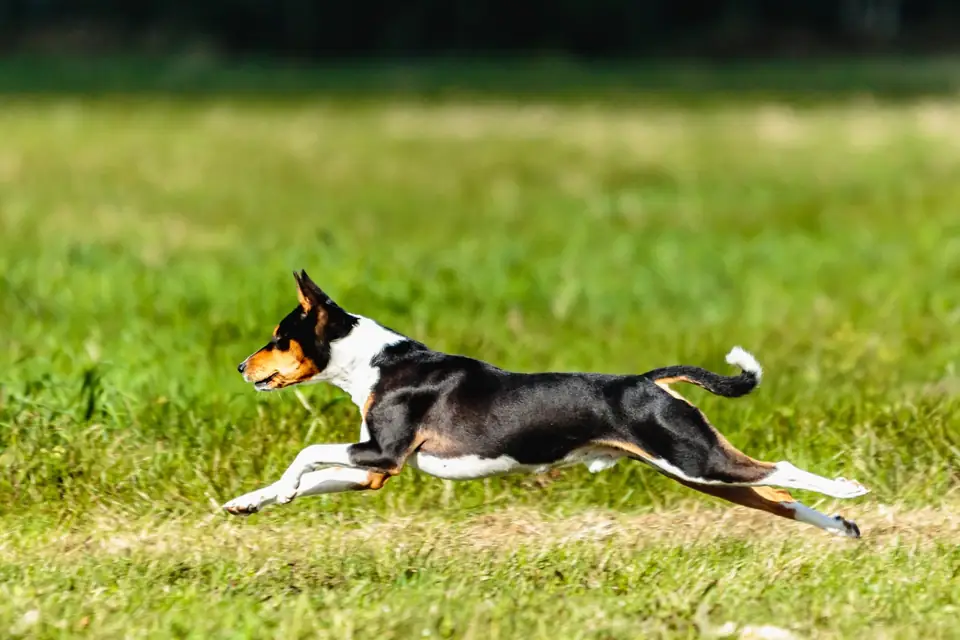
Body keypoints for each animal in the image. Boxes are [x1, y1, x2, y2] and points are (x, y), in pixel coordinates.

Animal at [225, 268, 872, 536]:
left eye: (278, 338)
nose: (240, 366)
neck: (376, 363)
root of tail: (649, 380)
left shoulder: (382, 453)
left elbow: (305, 454)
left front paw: (279, 489)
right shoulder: (375, 471)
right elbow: (309, 478)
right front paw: (250, 501)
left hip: (695, 460)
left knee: (782, 471)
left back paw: (848, 491)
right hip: (694, 470)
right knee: (777, 496)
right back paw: (842, 527)